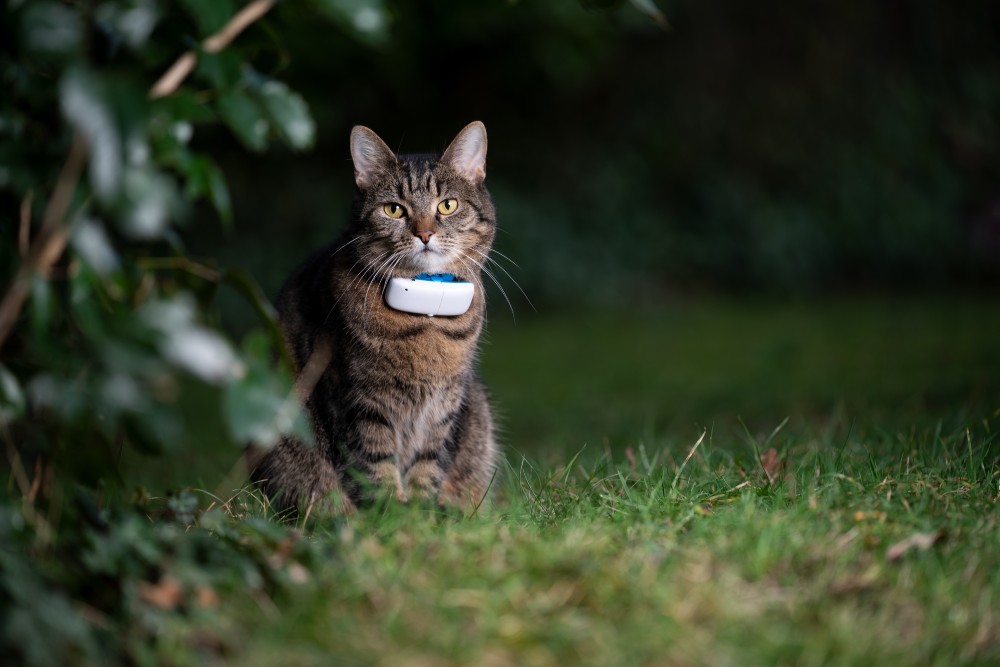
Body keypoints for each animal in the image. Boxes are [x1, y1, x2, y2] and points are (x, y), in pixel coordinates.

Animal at [248, 120, 498, 516]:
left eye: (448, 205)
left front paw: (421, 514)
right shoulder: (358, 401)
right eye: (394, 210)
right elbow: (374, 465)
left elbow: (427, 464)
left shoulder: (444, 406)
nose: (424, 233)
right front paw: (392, 517)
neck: (427, 317)